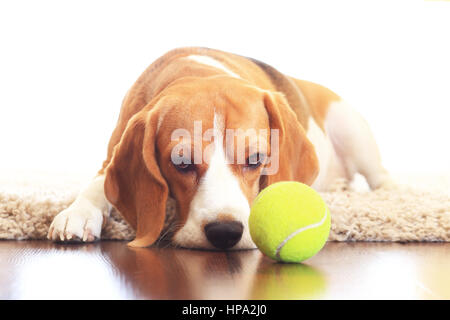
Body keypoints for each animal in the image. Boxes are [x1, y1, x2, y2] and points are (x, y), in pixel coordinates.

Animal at [48, 47, 390, 250]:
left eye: (256, 159)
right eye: (181, 163)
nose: (225, 233)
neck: (198, 72)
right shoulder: (111, 158)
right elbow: (98, 186)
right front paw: (77, 213)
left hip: (354, 131)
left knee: (381, 179)